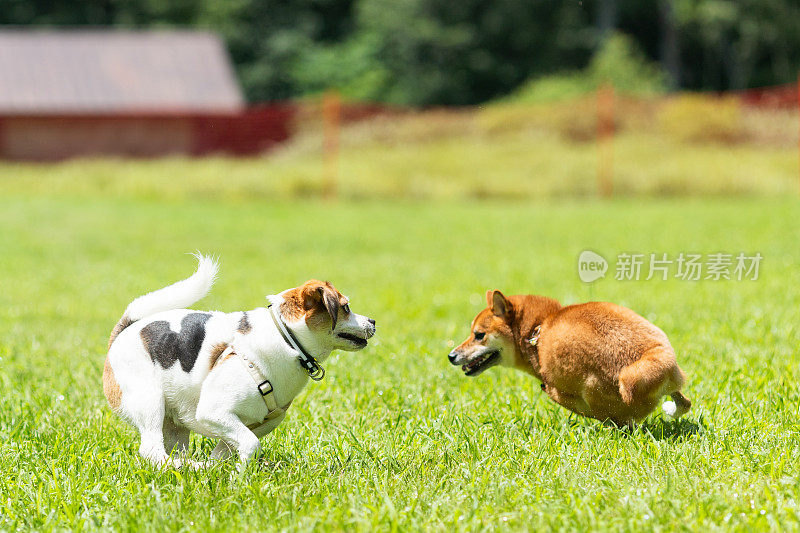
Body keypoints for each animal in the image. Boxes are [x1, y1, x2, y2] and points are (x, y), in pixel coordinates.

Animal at [103, 256, 376, 468]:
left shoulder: (253, 424)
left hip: (174, 425)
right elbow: (251, 445)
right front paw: (239, 477)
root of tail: (124, 330)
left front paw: (226, 471)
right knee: (152, 451)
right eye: (346, 307)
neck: (287, 339)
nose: (373, 321)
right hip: (149, 401)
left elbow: (228, 450)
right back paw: (187, 466)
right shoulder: (214, 411)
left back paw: (193, 466)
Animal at [446, 288, 692, 426]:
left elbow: (557, 394)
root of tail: (654, 356)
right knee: (684, 403)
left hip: (595, 387)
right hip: (672, 377)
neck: (538, 329)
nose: (451, 355)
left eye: (479, 335)